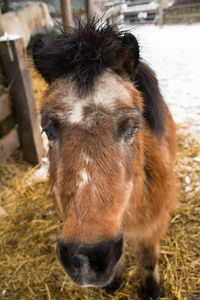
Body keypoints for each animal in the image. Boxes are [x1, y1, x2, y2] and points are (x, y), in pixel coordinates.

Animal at [32, 20, 177, 300]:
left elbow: (148, 259)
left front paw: (152, 290)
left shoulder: (153, 226)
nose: (87, 258)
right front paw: (114, 282)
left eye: (132, 128)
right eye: (48, 130)